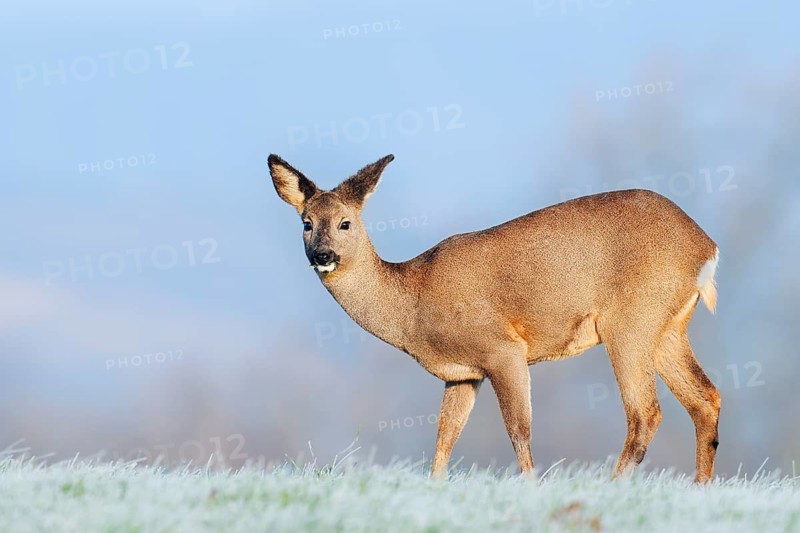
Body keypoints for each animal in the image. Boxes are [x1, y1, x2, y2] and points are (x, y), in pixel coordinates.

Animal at [268, 153, 722, 483]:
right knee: (706, 399)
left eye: (346, 222)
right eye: (307, 223)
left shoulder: (503, 349)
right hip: (667, 327)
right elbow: (444, 440)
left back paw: (612, 488)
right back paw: (699, 488)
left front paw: (531, 489)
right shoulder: (462, 374)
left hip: (631, 321)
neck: (413, 303)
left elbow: (519, 430)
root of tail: (706, 247)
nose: (323, 255)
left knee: (646, 412)